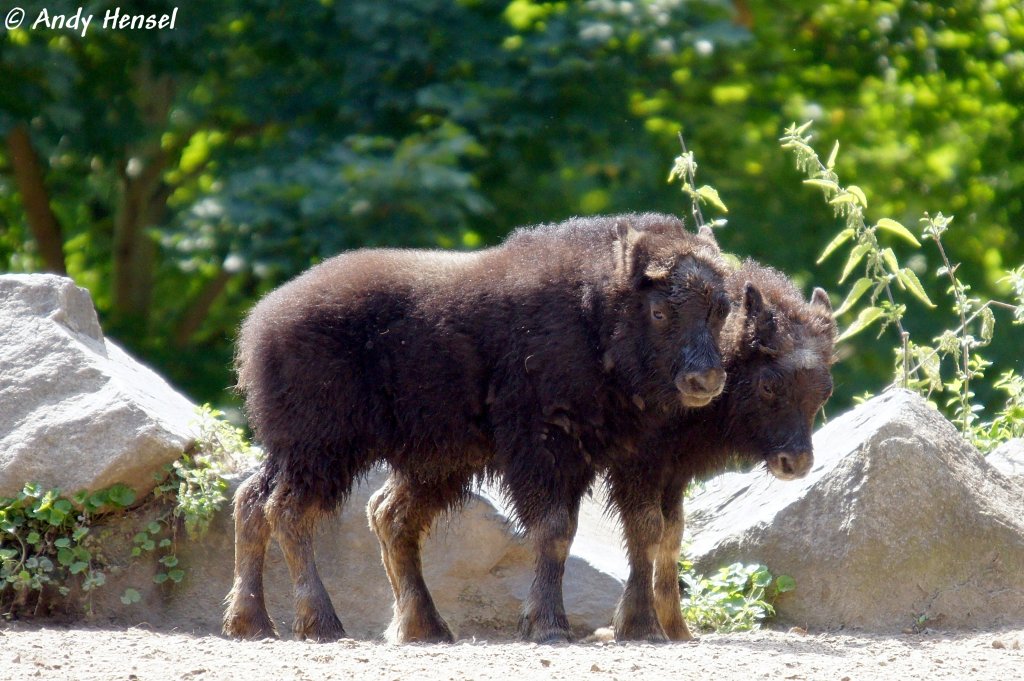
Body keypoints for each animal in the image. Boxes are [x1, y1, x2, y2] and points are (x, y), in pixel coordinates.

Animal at [224, 213, 737, 643]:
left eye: (721, 309)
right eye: (660, 311)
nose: (706, 380)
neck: (596, 313)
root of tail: (261, 321)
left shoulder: (633, 461)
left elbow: (646, 531)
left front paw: (643, 627)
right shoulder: (544, 451)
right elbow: (555, 530)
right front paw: (547, 626)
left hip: (413, 462)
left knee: (298, 506)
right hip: (324, 449)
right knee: (288, 510)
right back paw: (322, 623)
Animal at [602, 246, 835, 639]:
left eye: (825, 390)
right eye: (768, 384)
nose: (796, 463)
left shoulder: (673, 473)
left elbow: (673, 535)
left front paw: (678, 631)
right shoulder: (638, 468)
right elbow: (648, 530)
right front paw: (640, 626)